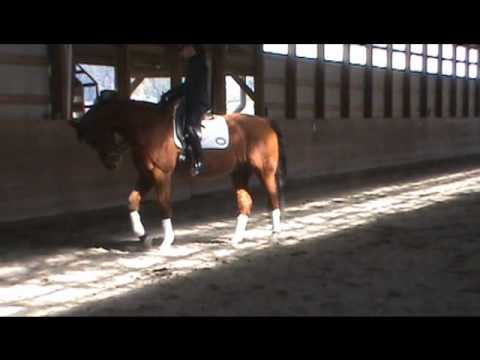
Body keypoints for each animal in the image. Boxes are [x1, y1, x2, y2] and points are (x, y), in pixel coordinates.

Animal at [71, 91, 286, 252]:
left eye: (96, 135)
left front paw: (166, 241)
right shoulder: (146, 174)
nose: (112, 162)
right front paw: (144, 237)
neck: (148, 127)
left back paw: (275, 235)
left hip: (264, 171)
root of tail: (265, 122)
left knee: (273, 197)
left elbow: (163, 204)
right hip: (240, 171)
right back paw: (236, 239)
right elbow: (132, 201)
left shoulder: (161, 174)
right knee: (246, 202)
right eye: (91, 141)